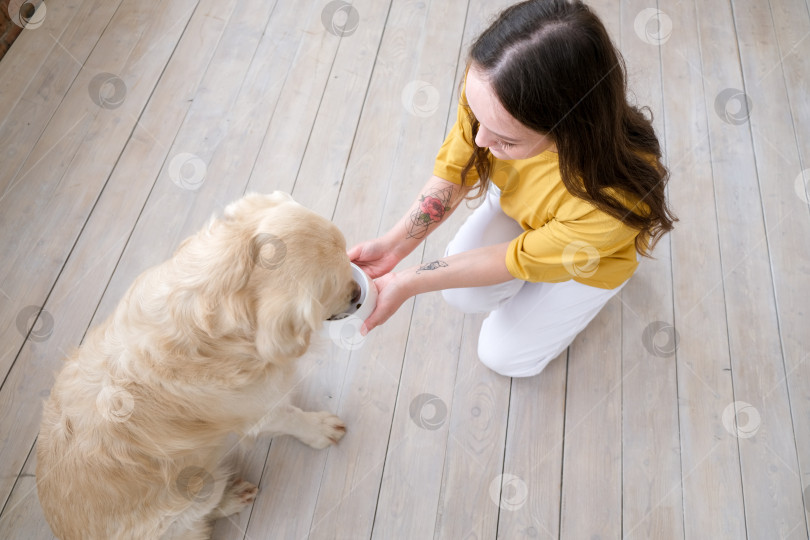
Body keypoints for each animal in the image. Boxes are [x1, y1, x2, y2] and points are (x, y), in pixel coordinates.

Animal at [37, 192, 360, 536]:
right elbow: (291, 417)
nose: (358, 294)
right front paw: (319, 428)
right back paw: (231, 496)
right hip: (187, 499)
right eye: (337, 289)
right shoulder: (259, 413)